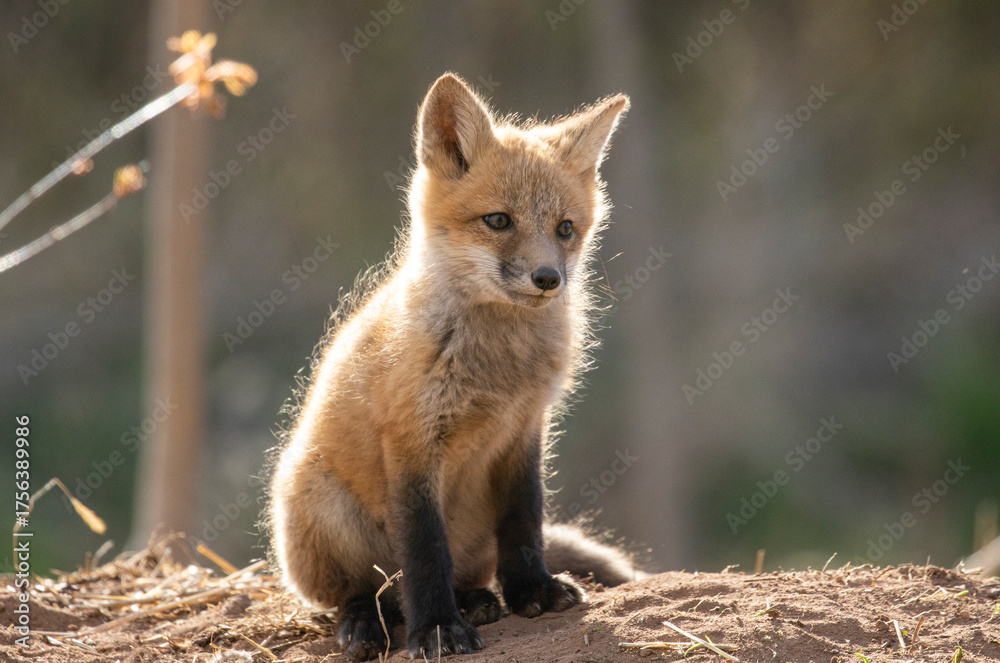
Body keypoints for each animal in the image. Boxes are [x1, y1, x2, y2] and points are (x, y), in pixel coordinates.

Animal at [268, 73, 635, 660]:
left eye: (565, 228)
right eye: (498, 221)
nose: (549, 279)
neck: (497, 366)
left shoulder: (524, 430)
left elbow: (525, 521)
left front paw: (532, 590)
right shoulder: (411, 442)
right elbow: (424, 551)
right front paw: (438, 628)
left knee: (460, 573)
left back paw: (477, 600)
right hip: (324, 510)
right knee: (363, 593)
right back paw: (368, 624)